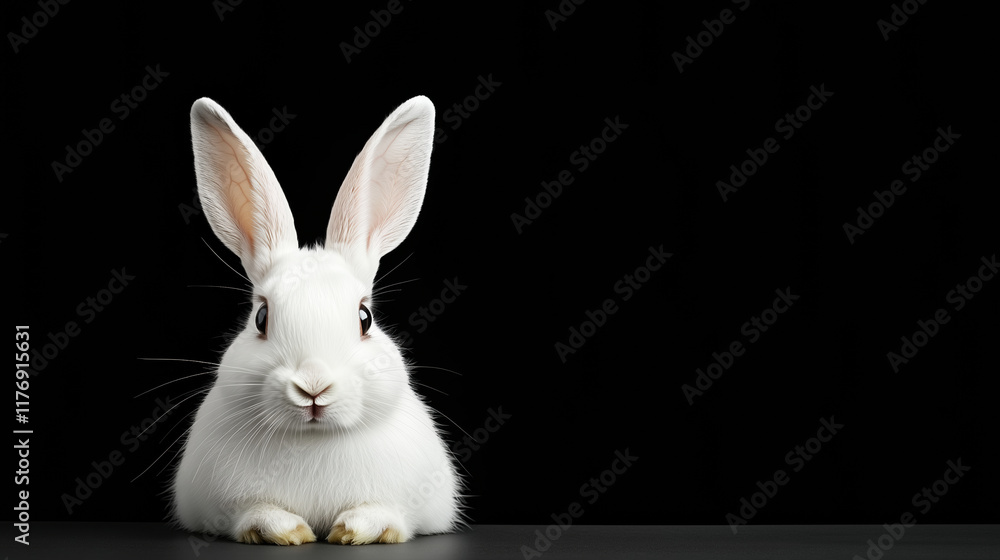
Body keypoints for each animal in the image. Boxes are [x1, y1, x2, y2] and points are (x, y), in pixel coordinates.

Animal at [171, 95, 461, 545]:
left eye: (365, 318)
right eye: (261, 317)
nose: (313, 386)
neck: (313, 439)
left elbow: (385, 513)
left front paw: (352, 530)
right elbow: (255, 512)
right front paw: (287, 531)